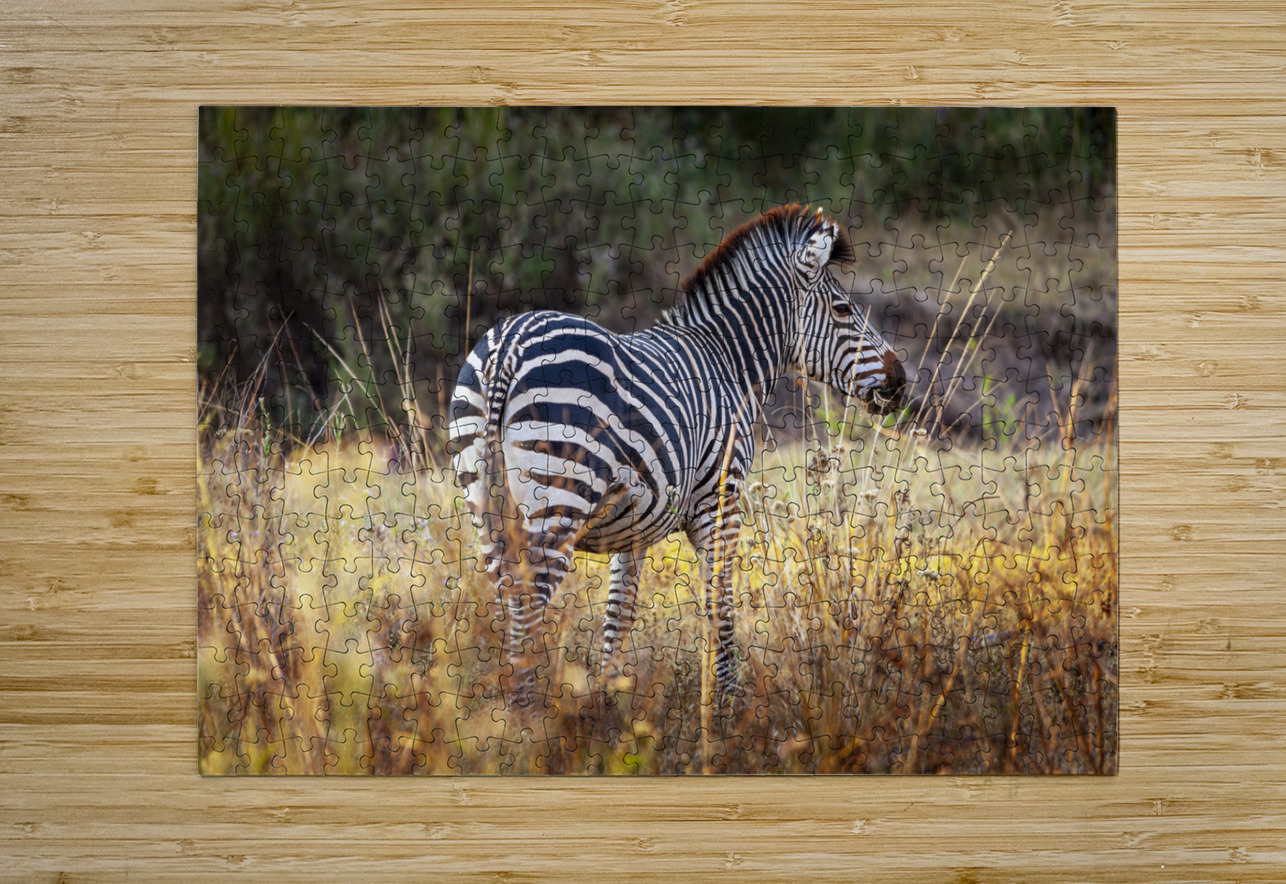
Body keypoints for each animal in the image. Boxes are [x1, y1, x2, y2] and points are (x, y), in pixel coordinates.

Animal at [448, 204, 906, 708]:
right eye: (843, 310)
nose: (901, 380)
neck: (729, 362)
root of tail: (508, 346)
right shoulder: (719, 501)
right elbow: (718, 601)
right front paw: (726, 702)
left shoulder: (633, 528)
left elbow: (619, 613)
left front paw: (606, 699)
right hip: (560, 496)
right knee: (528, 603)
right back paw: (526, 717)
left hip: (485, 500)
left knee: (509, 597)